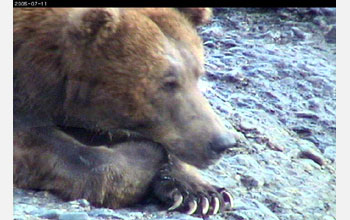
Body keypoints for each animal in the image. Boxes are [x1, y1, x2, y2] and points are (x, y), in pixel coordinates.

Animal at [15, 7, 237, 216]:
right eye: (168, 82)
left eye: (198, 73)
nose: (223, 142)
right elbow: (42, 144)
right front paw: (147, 156)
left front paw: (204, 194)